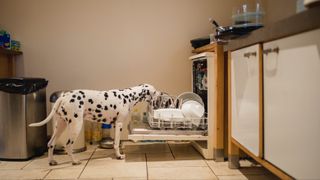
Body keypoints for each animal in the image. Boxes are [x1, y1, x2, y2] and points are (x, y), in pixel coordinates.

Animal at [29, 83, 160, 165]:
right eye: (155, 91)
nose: (160, 94)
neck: (128, 96)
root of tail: (63, 97)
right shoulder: (119, 124)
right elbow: (116, 143)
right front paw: (118, 156)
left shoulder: (114, 125)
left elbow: (115, 143)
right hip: (76, 126)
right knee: (68, 145)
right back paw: (75, 161)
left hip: (60, 126)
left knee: (50, 144)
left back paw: (51, 161)